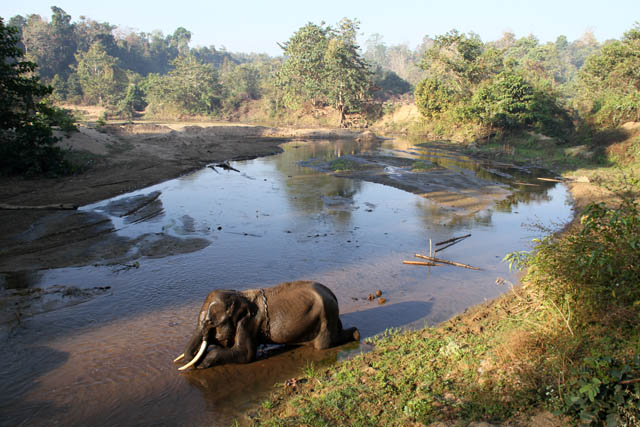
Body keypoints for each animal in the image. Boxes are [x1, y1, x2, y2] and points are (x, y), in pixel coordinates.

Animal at [174, 281, 360, 370]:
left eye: (210, 322)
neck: (239, 295)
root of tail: (333, 294)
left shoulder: (248, 323)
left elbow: (246, 354)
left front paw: (202, 363)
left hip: (326, 316)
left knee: (323, 345)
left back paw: (356, 334)